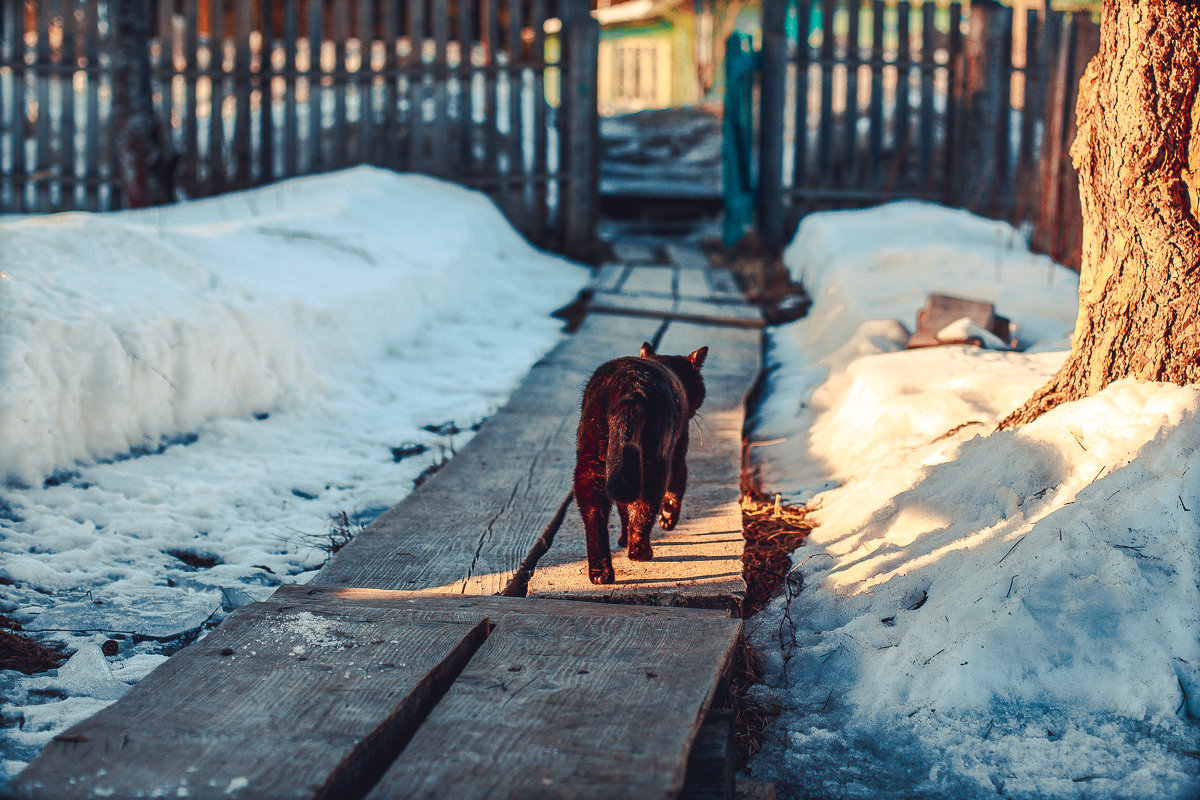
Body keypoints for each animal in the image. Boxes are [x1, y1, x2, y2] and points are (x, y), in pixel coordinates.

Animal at [573, 340, 705, 585]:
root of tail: (630, 392)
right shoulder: (679, 447)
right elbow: (676, 488)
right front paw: (668, 519)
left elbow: (624, 510)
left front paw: (622, 538)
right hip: (655, 463)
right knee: (646, 506)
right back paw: (640, 552)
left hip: (593, 462)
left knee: (595, 514)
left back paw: (600, 573)